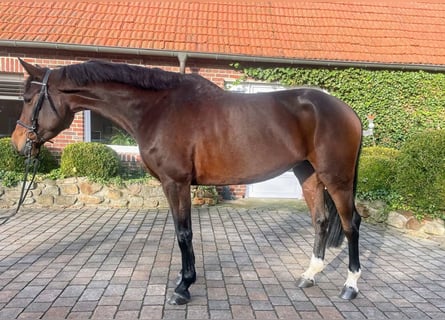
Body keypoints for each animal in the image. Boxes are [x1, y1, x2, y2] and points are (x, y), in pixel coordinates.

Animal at [12, 59, 362, 304]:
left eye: (29, 99)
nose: (17, 143)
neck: (158, 108)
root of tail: (349, 111)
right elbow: (184, 233)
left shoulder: (175, 183)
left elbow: (184, 233)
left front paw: (183, 286)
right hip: (308, 174)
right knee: (321, 220)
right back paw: (309, 275)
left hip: (337, 178)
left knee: (351, 224)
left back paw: (350, 286)